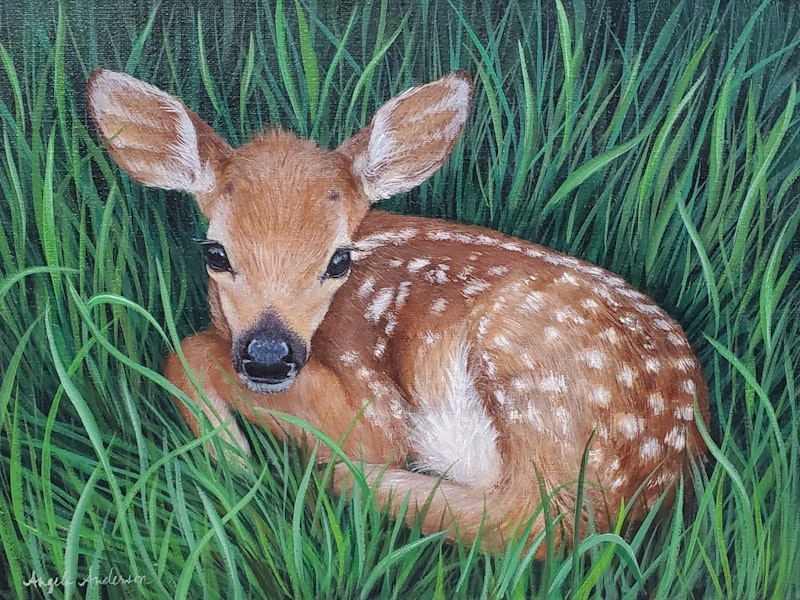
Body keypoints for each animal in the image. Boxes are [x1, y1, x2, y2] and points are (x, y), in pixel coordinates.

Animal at [87, 68, 709, 556]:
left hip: (530, 371)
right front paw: (227, 450)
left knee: (532, 523)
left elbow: (188, 349)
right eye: (216, 253)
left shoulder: (375, 404)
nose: (268, 356)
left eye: (339, 259)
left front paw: (232, 454)